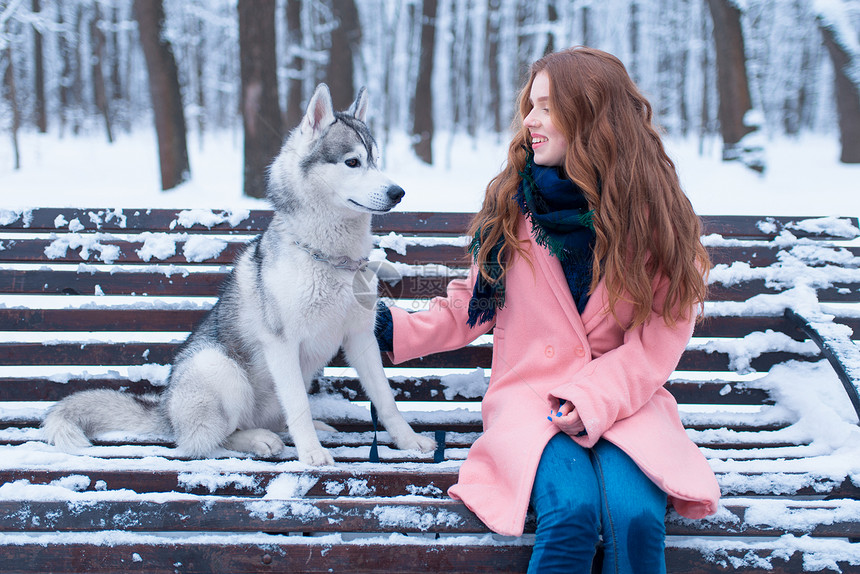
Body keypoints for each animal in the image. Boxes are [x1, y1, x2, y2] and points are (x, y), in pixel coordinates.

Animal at [42, 83, 436, 466]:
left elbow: (386, 400)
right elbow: (298, 406)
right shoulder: (281, 344)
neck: (330, 258)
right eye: (352, 162)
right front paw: (310, 453)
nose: (398, 192)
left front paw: (408, 441)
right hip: (219, 368)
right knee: (207, 441)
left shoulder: (360, 337)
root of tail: (165, 410)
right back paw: (257, 439)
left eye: (376, 161)